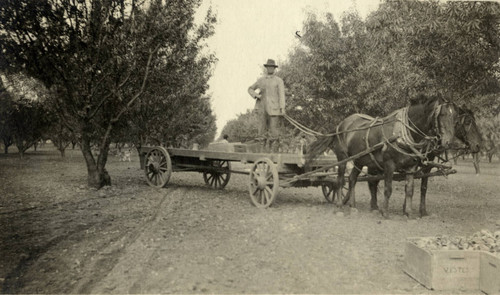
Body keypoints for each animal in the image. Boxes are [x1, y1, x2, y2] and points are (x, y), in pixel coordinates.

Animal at [306, 96, 462, 219]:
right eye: (442, 115)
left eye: (455, 118)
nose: (448, 142)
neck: (402, 133)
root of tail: (341, 124)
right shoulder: (389, 165)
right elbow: (388, 188)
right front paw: (385, 212)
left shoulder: (411, 167)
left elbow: (410, 190)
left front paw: (409, 213)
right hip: (342, 158)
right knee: (339, 181)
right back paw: (339, 206)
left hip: (359, 160)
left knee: (351, 179)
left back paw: (353, 206)